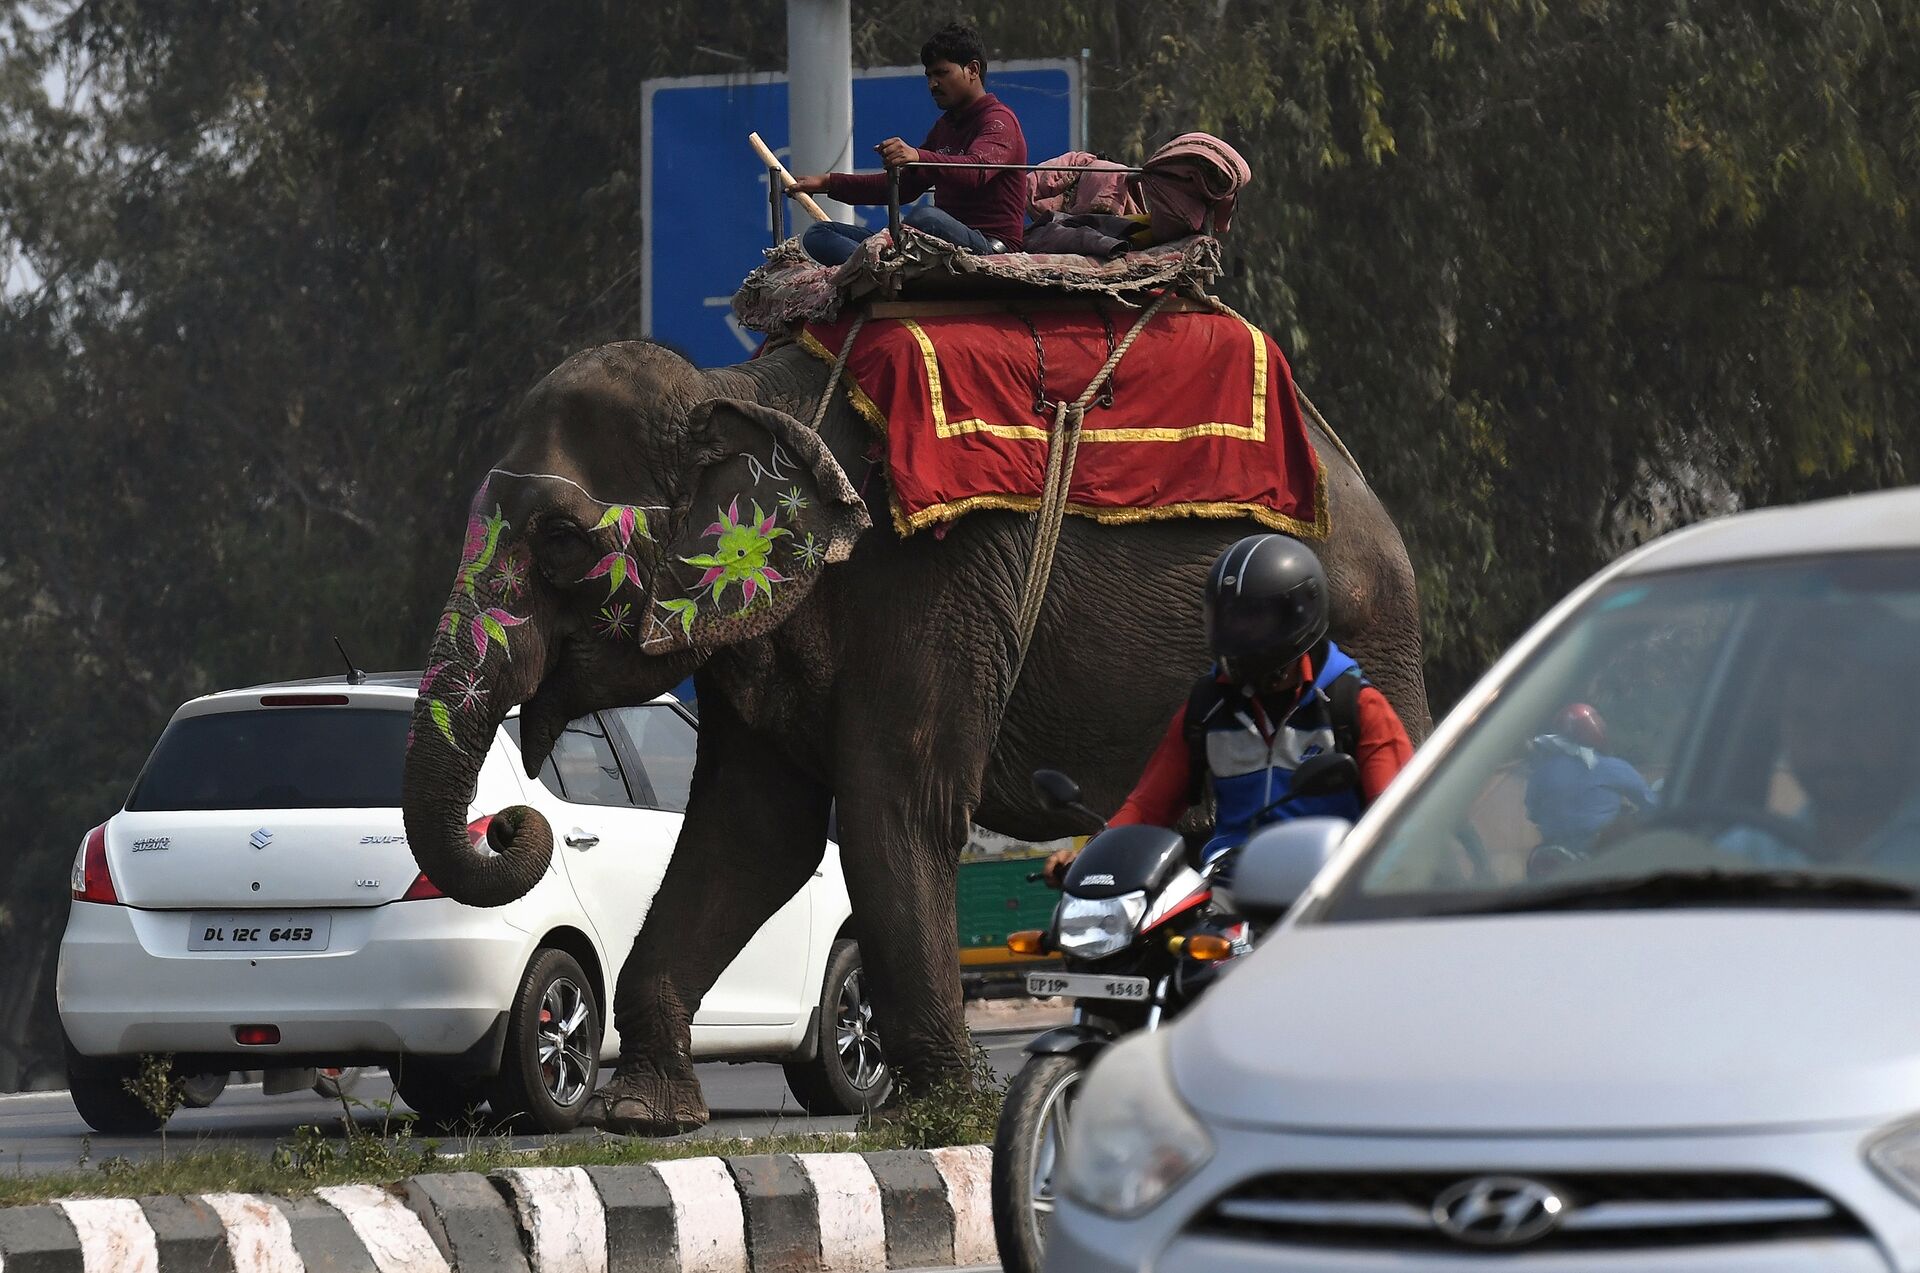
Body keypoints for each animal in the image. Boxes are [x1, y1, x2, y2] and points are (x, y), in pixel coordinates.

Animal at [405, 334, 1428, 1128]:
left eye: (561, 541)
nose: (513, 823)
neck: (744, 390)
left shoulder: (933, 581)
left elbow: (893, 810)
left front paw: (946, 1112)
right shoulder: (762, 622)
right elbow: (755, 829)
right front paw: (645, 1114)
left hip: (1369, 635)